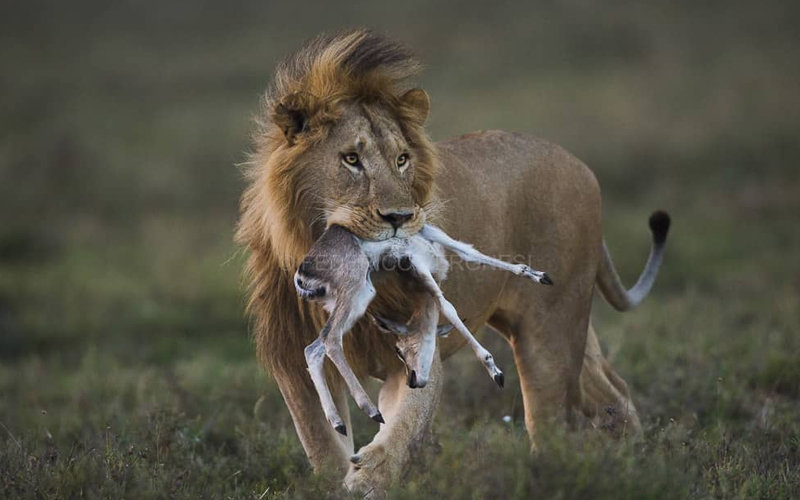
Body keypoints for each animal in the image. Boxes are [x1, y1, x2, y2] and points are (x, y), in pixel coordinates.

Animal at [236, 30, 670, 495]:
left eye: (402, 159)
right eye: (350, 159)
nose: (400, 218)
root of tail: (580, 165)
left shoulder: (412, 348)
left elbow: (404, 426)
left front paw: (369, 476)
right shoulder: (290, 354)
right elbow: (319, 440)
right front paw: (339, 474)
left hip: (549, 337)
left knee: (552, 424)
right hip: (565, 326)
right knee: (612, 393)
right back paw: (636, 464)